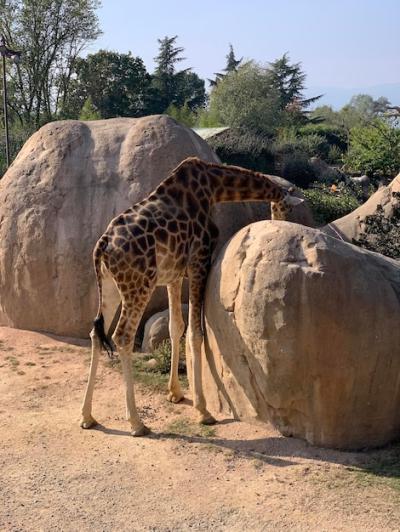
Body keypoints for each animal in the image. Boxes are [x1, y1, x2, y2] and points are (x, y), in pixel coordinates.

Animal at [79, 155, 304, 436]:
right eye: (287, 209)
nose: (281, 220)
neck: (215, 188)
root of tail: (103, 246)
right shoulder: (199, 262)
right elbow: (196, 333)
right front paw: (203, 411)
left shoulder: (174, 275)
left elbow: (176, 328)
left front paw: (175, 393)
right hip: (139, 285)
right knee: (122, 337)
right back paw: (136, 422)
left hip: (110, 287)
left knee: (95, 334)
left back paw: (87, 416)